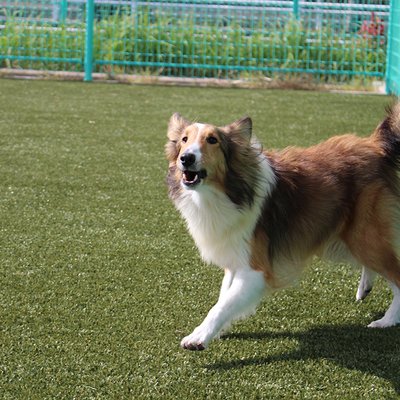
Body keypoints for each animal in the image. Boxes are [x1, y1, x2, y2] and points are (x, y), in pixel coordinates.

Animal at [163, 104, 400, 352]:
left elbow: (221, 305)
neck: (227, 191)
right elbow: (224, 297)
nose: (186, 158)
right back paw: (365, 288)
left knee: (396, 275)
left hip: (364, 234)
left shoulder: (255, 269)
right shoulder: (235, 258)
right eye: (184, 139)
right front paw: (216, 331)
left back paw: (388, 320)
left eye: (212, 140)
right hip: (349, 235)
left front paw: (199, 336)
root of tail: (374, 145)